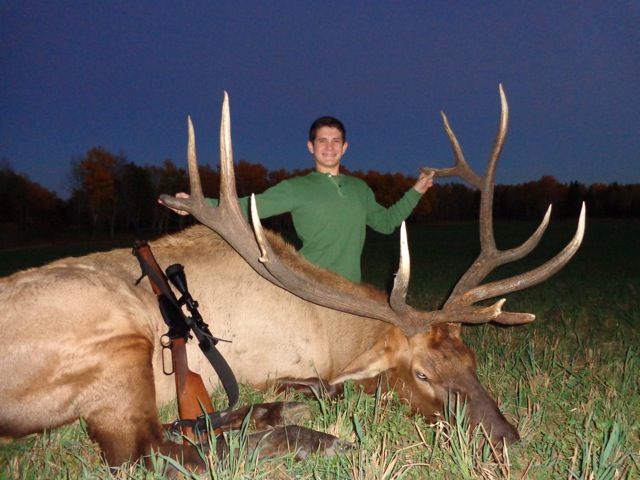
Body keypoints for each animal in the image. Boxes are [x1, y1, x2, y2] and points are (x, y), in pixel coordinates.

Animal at [0, 85, 585, 470]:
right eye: (422, 373)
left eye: (472, 359)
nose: (508, 439)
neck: (330, 335)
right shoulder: (269, 363)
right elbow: (322, 386)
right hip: (120, 342)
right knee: (149, 451)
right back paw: (310, 437)